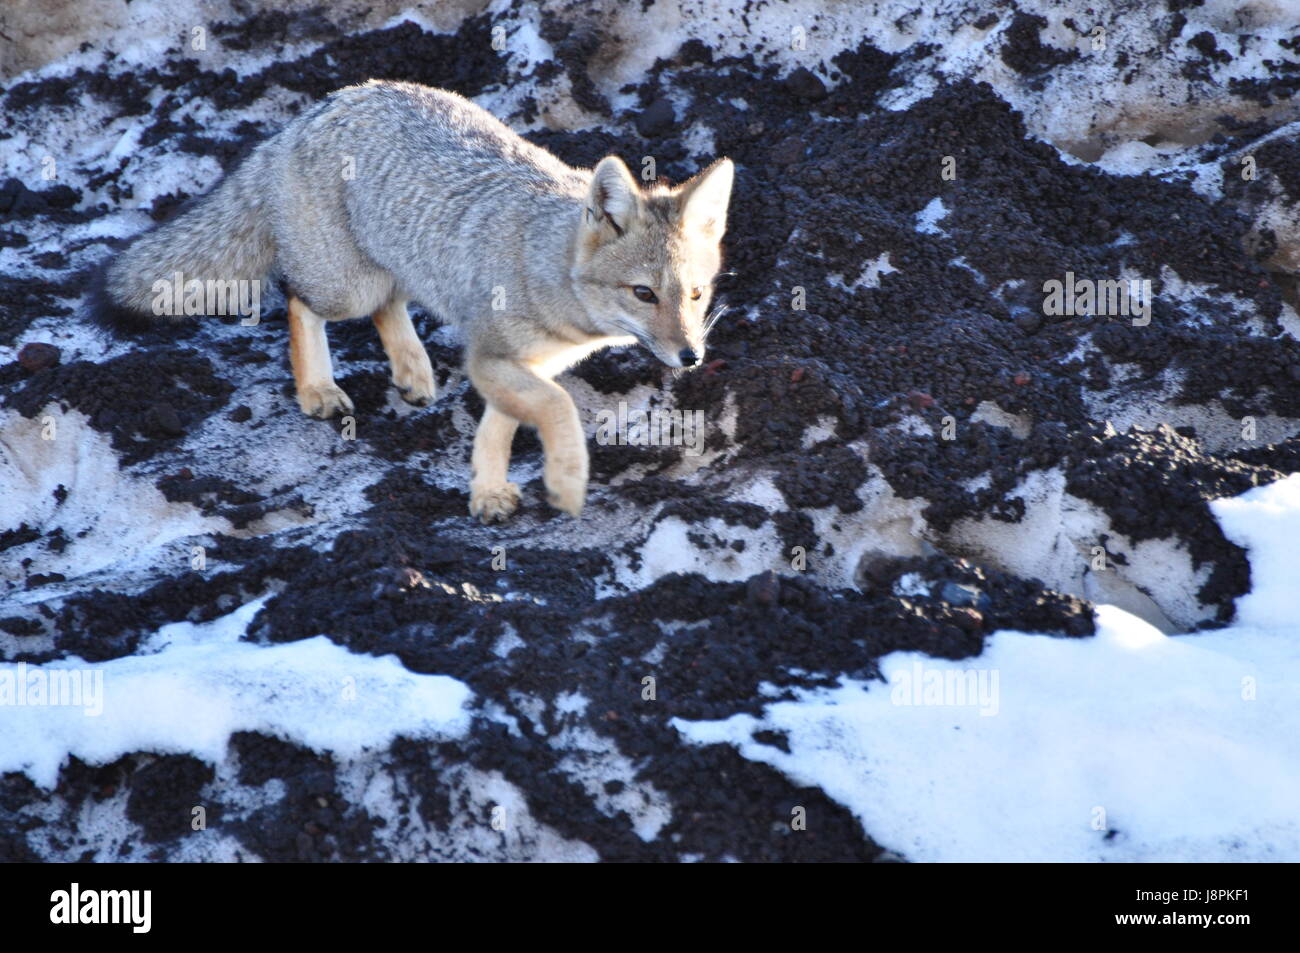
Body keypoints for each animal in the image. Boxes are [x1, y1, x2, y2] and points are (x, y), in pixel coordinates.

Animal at [96, 79, 735, 522]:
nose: (692, 358)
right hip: (344, 287)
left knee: (388, 303)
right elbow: (556, 408)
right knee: (298, 299)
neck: (545, 262)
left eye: (696, 293)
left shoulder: (518, 365)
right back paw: (317, 389)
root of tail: (316, 109)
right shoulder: (495, 358)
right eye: (644, 293)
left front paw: (487, 492)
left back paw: (412, 371)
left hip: (392, 266)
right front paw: (567, 481)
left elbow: (498, 428)